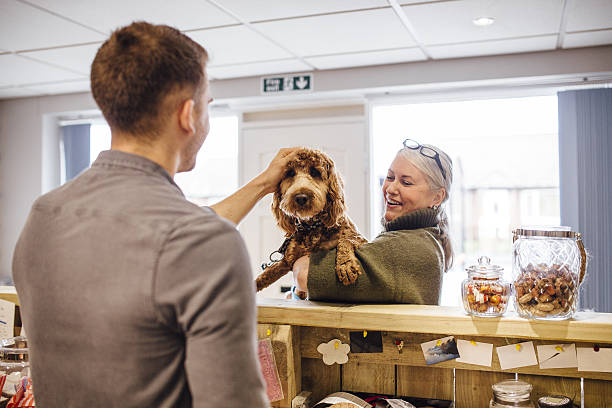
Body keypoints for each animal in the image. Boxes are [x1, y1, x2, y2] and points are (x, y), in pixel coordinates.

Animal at [255, 147, 366, 294]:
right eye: (290, 173)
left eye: (315, 172)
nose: (301, 197)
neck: (312, 226)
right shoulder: (288, 260)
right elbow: (267, 273)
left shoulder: (360, 238)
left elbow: (346, 240)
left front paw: (345, 265)